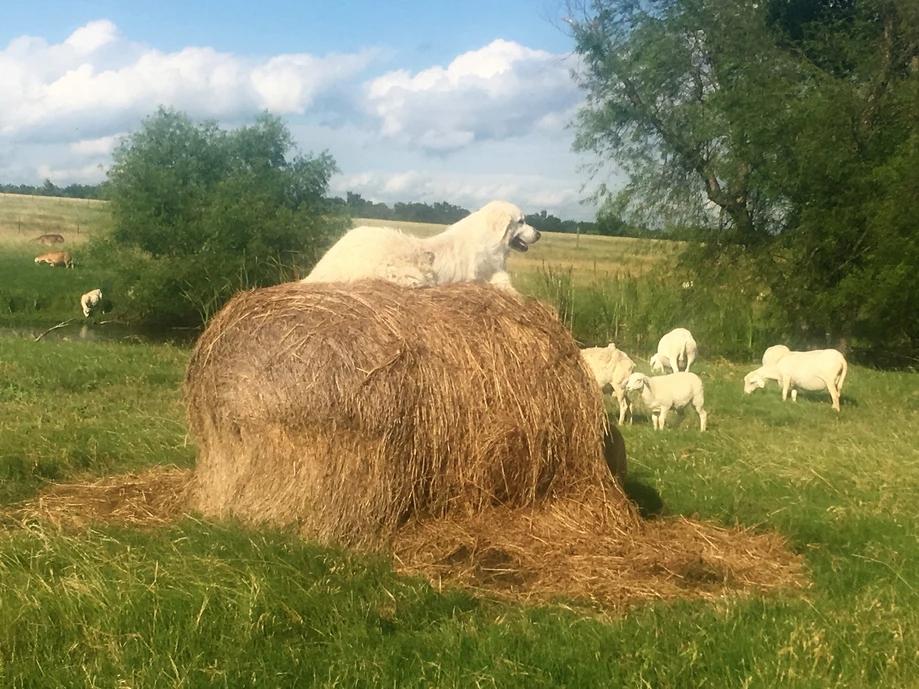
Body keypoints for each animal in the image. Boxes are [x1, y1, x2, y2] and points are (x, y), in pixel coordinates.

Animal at [298, 202, 544, 292]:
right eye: (522, 221)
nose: (539, 234)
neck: (489, 238)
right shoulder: (489, 276)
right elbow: (507, 287)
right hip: (405, 273)